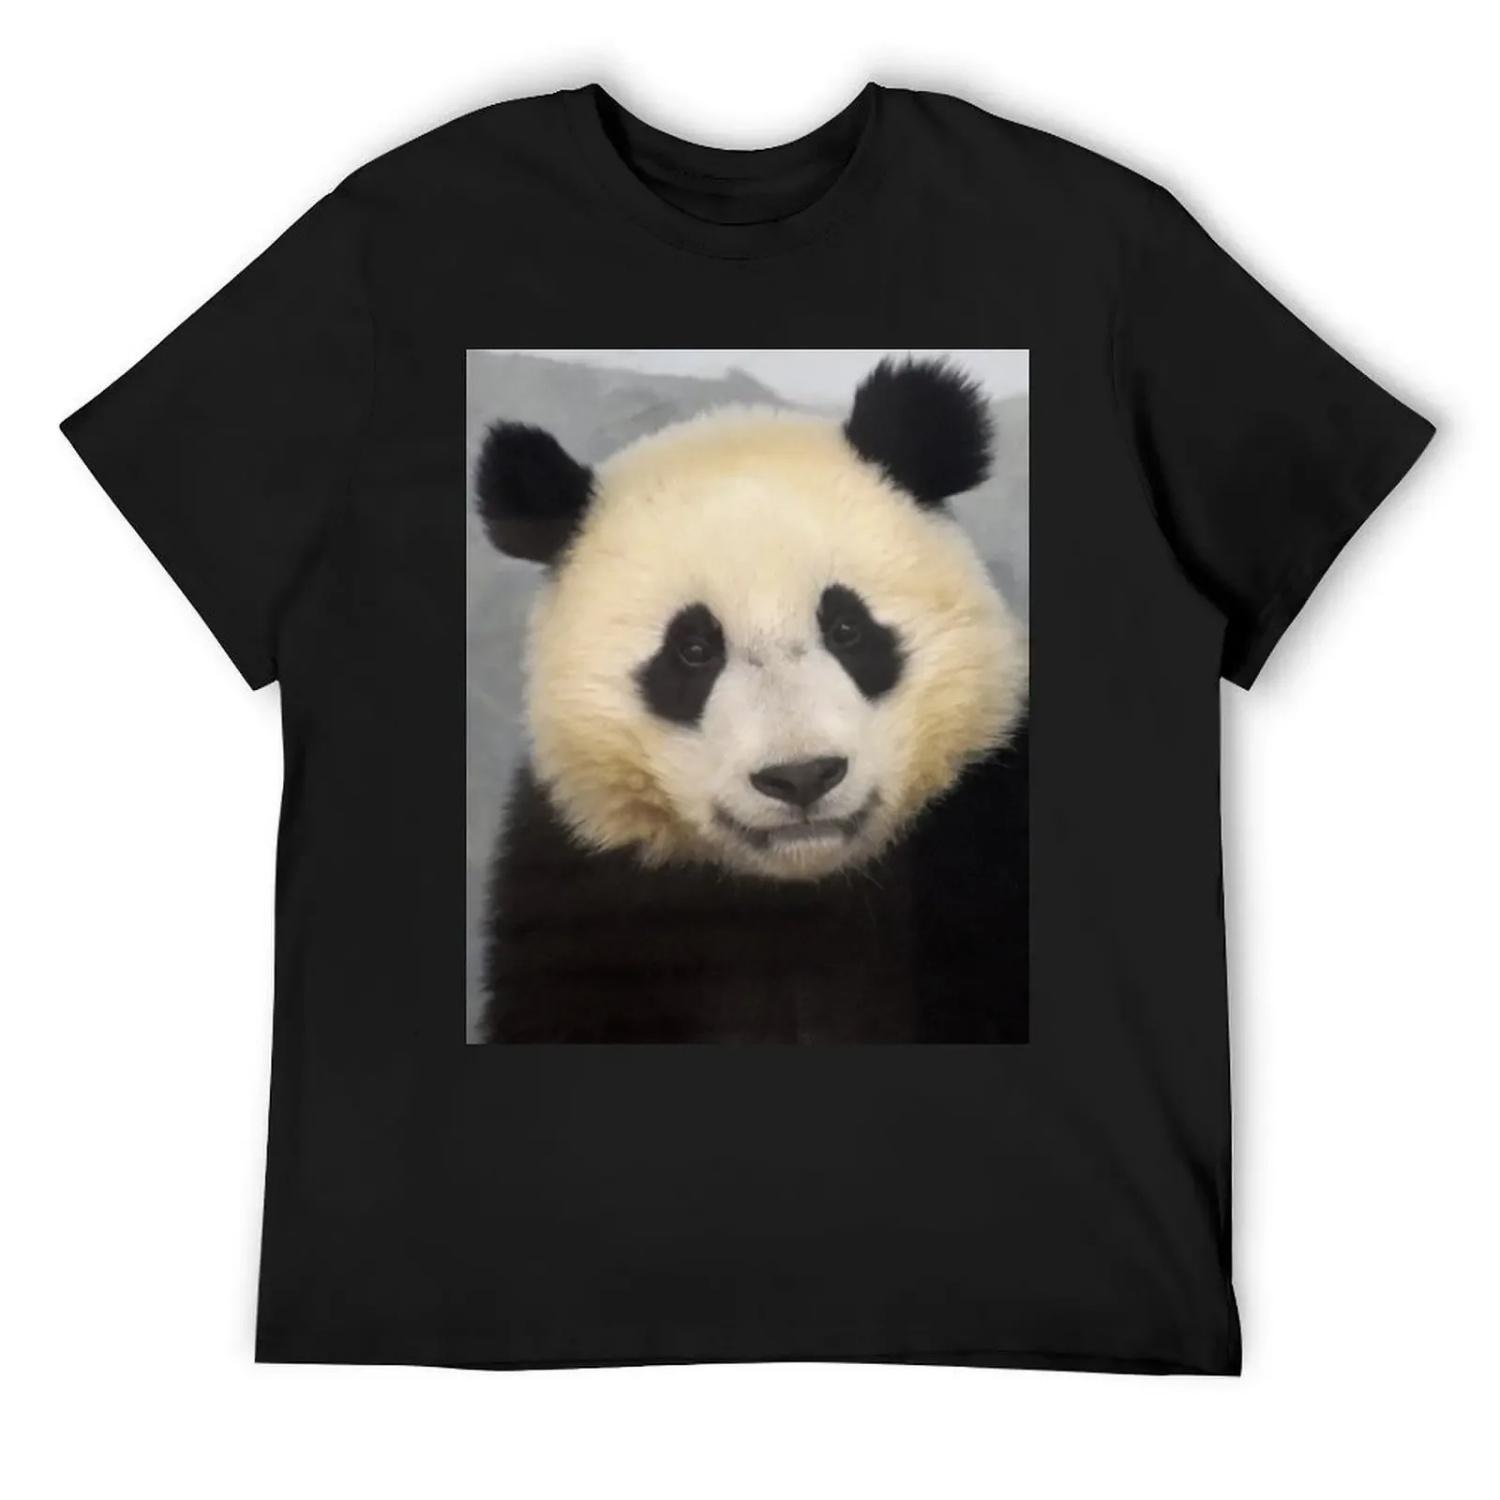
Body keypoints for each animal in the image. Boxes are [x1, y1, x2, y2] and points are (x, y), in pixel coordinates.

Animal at [473, 357, 1029, 1043]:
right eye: (692, 650)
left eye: (846, 628)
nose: (802, 776)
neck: (797, 888)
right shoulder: (581, 894)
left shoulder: (983, 839)